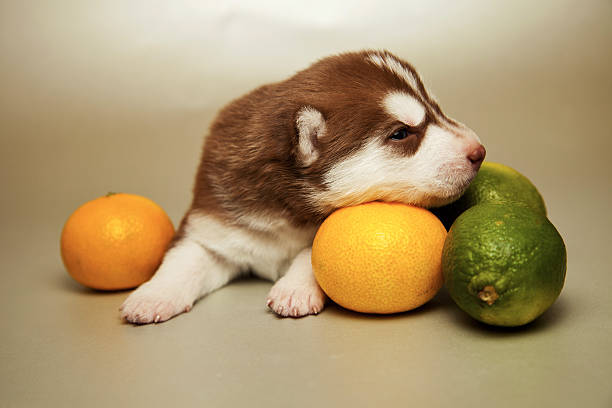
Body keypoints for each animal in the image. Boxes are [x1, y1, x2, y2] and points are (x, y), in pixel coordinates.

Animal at [118, 49, 482, 324]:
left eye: (438, 110)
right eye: (401, 133)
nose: (479, 152)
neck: (285, 211)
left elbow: (312, 252)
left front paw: (294, 289)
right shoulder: (211, 223)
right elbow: (183, 258)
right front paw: (152, 296)